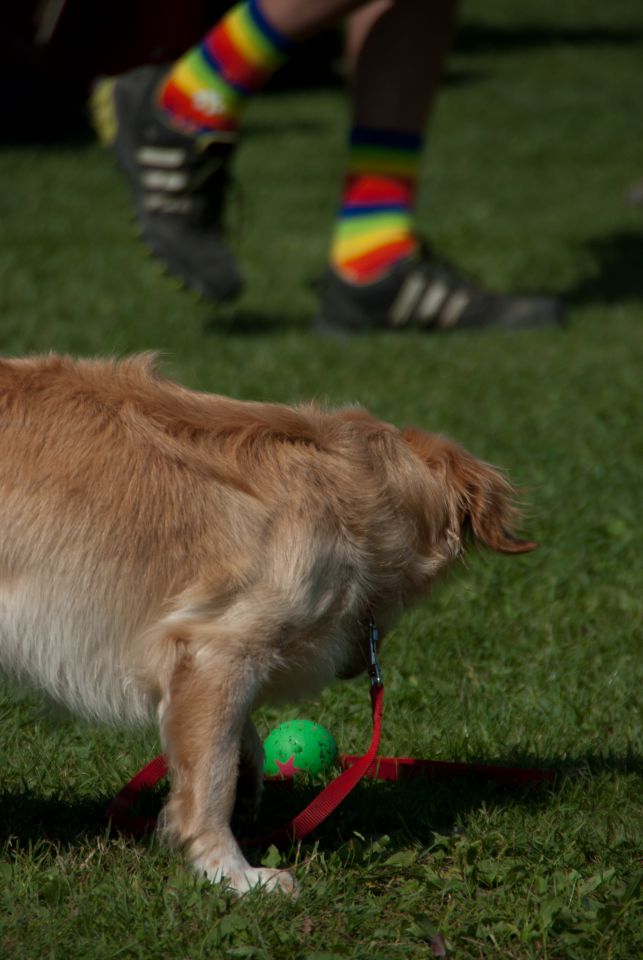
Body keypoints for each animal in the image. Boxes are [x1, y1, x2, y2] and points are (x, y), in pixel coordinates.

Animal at [0, 352, 536, 892]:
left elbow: (235, 738)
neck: (350, 491)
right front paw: (232, 872)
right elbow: (212, 777)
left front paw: (249, 782)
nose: (354, 665)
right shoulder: (219, 647)